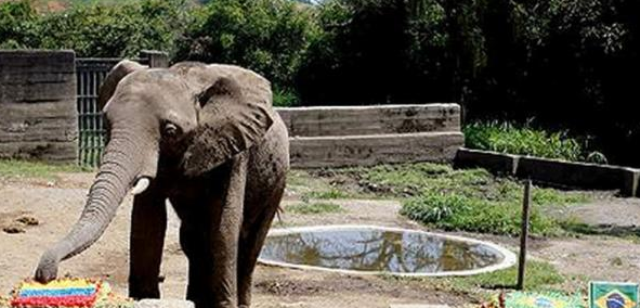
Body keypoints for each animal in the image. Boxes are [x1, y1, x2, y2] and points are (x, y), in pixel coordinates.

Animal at [32, 60, 288, 308]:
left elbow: (224, 223)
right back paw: (196, 299)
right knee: (192, 239)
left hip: (277, 181)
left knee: (250, 242)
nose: (45, 276)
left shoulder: (232, 146)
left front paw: (224, 305)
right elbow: (148, 220)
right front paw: (142, 299)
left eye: (170, 131)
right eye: (106, 122)